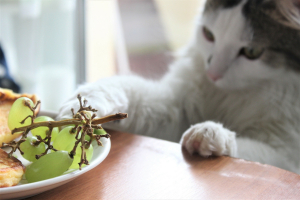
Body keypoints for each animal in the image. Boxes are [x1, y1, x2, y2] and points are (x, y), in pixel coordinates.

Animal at [57, 0, 300, 173]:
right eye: (209, 35)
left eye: (252, 52)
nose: (212, 73)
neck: (229, 95)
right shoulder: (174, 107)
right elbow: (117, 87)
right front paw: (80, 112)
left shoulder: (286, 152)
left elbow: (251, 149)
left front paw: (209, 133)